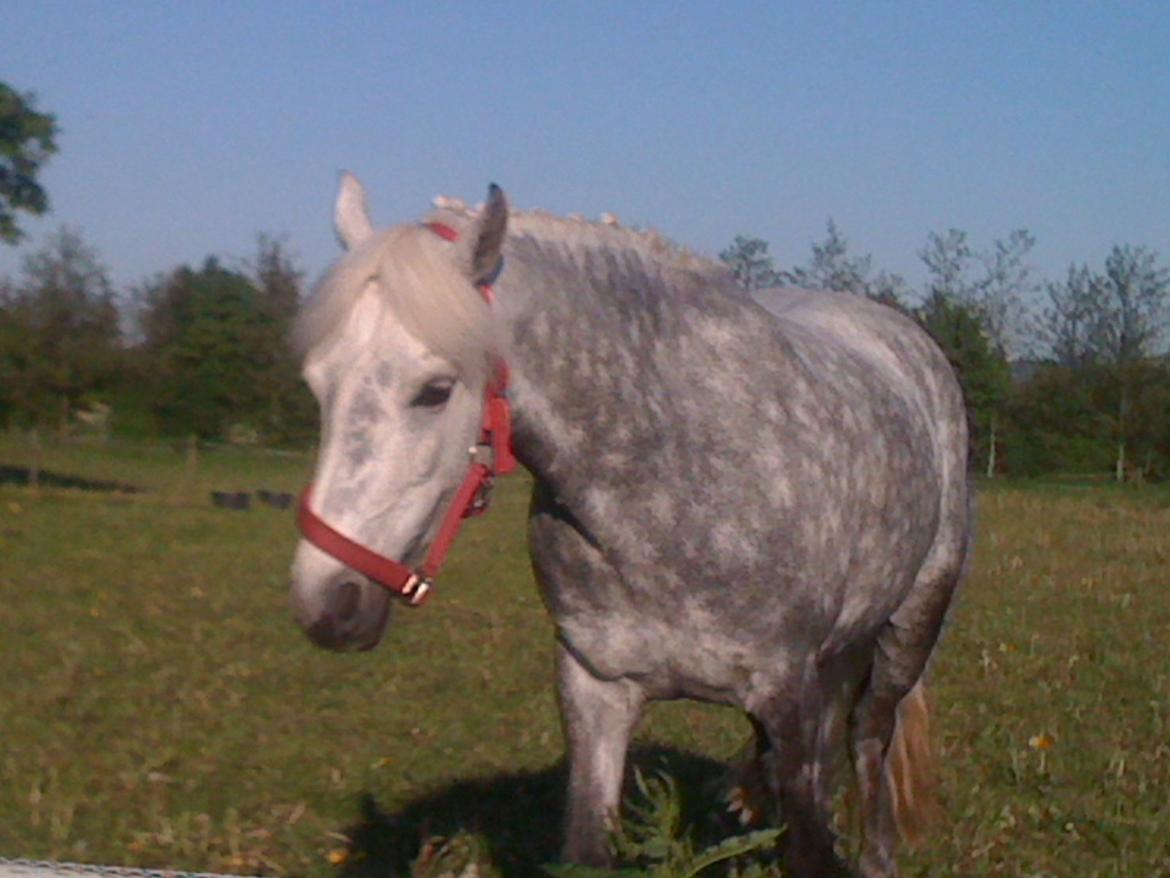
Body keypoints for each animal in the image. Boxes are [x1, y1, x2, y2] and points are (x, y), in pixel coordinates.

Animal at [287, 176, 964, 878]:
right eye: (317, 384)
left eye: (435, 390)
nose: (326, 605)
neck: (668, 485)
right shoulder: (596, 691)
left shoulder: (787, 693)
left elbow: (809, 840)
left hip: (907, 632)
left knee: (869, 738)